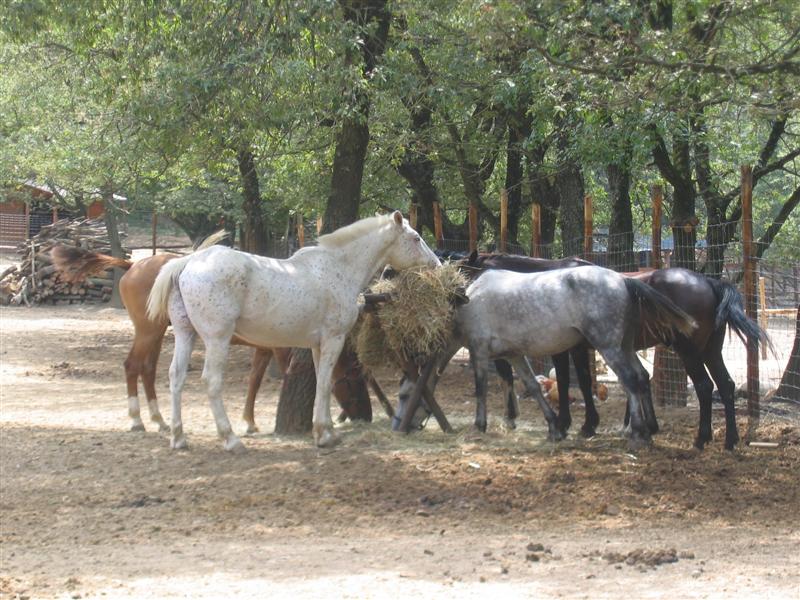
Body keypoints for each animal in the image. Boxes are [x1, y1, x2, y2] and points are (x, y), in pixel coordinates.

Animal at [51, 244, 372, 435]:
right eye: (353, 380)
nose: (364, 416)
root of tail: (133, 265)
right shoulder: (279, 349)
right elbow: (287, 375)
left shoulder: (263, 350)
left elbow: (254, 381)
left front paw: (249, 421)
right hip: (148, 331)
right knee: (133, 366)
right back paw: (137, 420)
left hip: (158, 333)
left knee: (148, 369)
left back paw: (160, 420)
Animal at [146, 211, 440, 451]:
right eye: (415, 238)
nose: (436, 264)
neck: (340, 268)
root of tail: (189, 262)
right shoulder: (334, 339)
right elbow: (325, 383)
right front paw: (324, 436)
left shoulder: (318, 345)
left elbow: (324, 382)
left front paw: (326, 431)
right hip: (217, 339)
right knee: (211, 381)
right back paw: (230, 439)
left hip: (185, 334)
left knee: (176, 377)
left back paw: (178, 438)